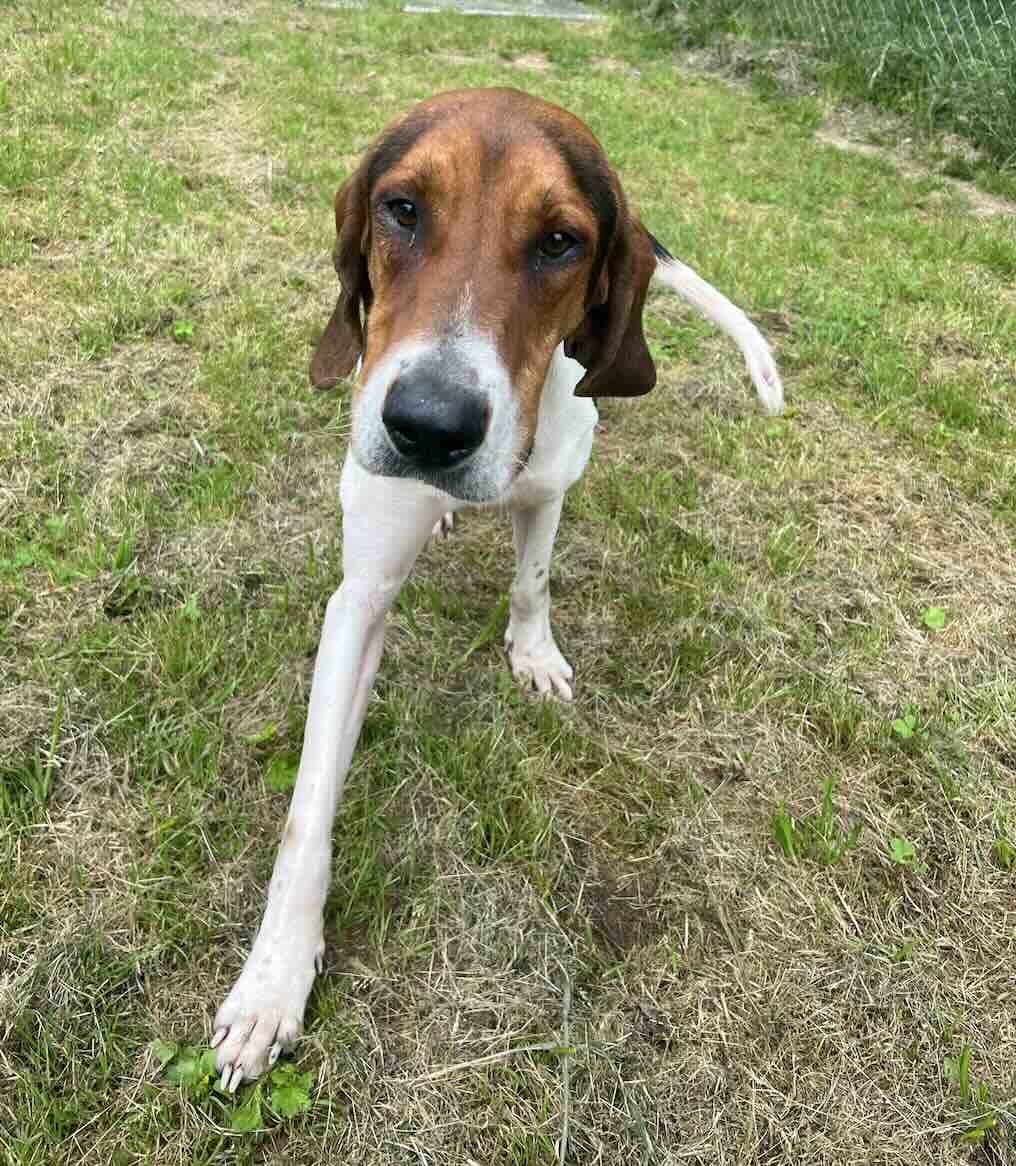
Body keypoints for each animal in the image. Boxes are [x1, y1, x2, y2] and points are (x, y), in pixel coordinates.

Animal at [206, 86, 779, 1086]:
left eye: (559, 241)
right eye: (401, 208)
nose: (431, 427)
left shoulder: (549, 489)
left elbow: (533, 582)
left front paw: (533, 653)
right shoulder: (359, 599)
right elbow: (308, 811)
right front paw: (273, 981)